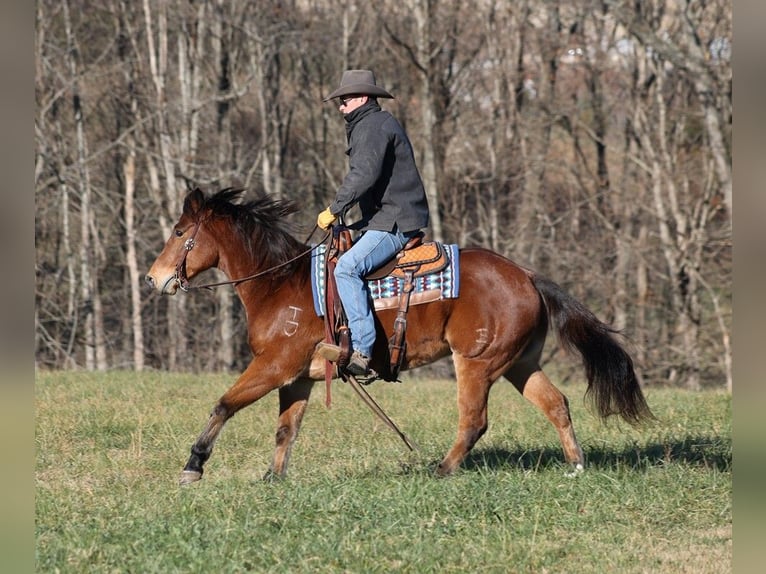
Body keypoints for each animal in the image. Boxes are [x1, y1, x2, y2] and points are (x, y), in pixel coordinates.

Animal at [148, 189, 656, 486]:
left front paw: (193, 465)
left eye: (179, 231)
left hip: (476, 364)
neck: (279, 284)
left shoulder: (273, 366)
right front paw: (274, 479)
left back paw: (441, 469)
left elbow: (224, 404)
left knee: (474, 420)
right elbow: (285, 429)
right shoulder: (298, 377)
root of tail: (528, 276)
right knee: (556, 404)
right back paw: (576, 465)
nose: (154, 279)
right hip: (518, 363)